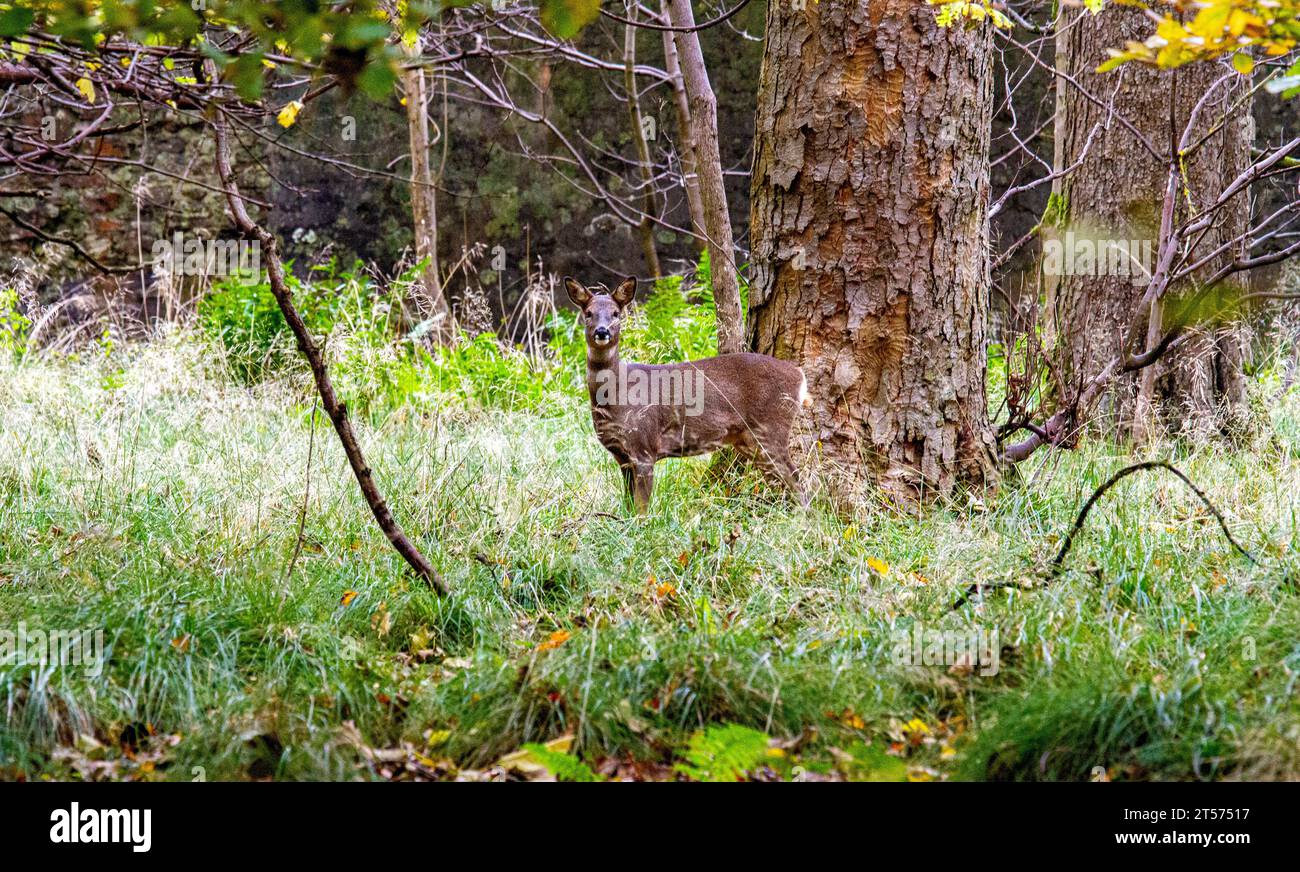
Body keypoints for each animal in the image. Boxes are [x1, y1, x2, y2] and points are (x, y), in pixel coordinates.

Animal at [564, 276, 806, 514]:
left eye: (616, 313)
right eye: (588, 313)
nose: (602, 331)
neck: (618, 396)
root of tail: (799, 376)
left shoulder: (644, 446)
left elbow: (641, 510)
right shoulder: (622, 457)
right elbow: (628, 506)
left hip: (772, 427)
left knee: (795, 478)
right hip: (749, 440)